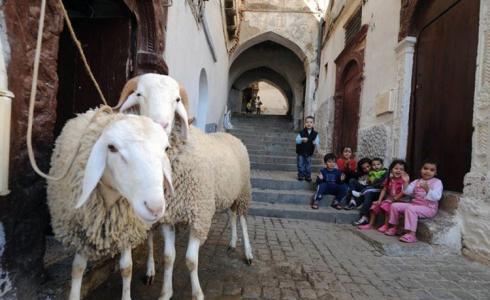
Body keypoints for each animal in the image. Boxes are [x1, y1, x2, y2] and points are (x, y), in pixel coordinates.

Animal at [46, 109, 175, 300]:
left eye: (165, 149)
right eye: (112, 148)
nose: (155, 208)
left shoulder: (126, 230)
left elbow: (127, 268)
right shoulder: (81, 231)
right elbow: (77, 269)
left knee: (155, 241)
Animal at [119, 75, 253, 300]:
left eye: (177, 100)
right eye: (139, 94)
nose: (160, 124)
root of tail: (230, 135)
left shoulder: (199, 214)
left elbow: (191, 260)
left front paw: (197, 294)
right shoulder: (169, 217)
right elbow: (168, 257)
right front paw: (166, 292)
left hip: (243, 192)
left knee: (242, 219)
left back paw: (248, 253)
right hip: (226, 194)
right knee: (231, 215)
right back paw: (232, 243)